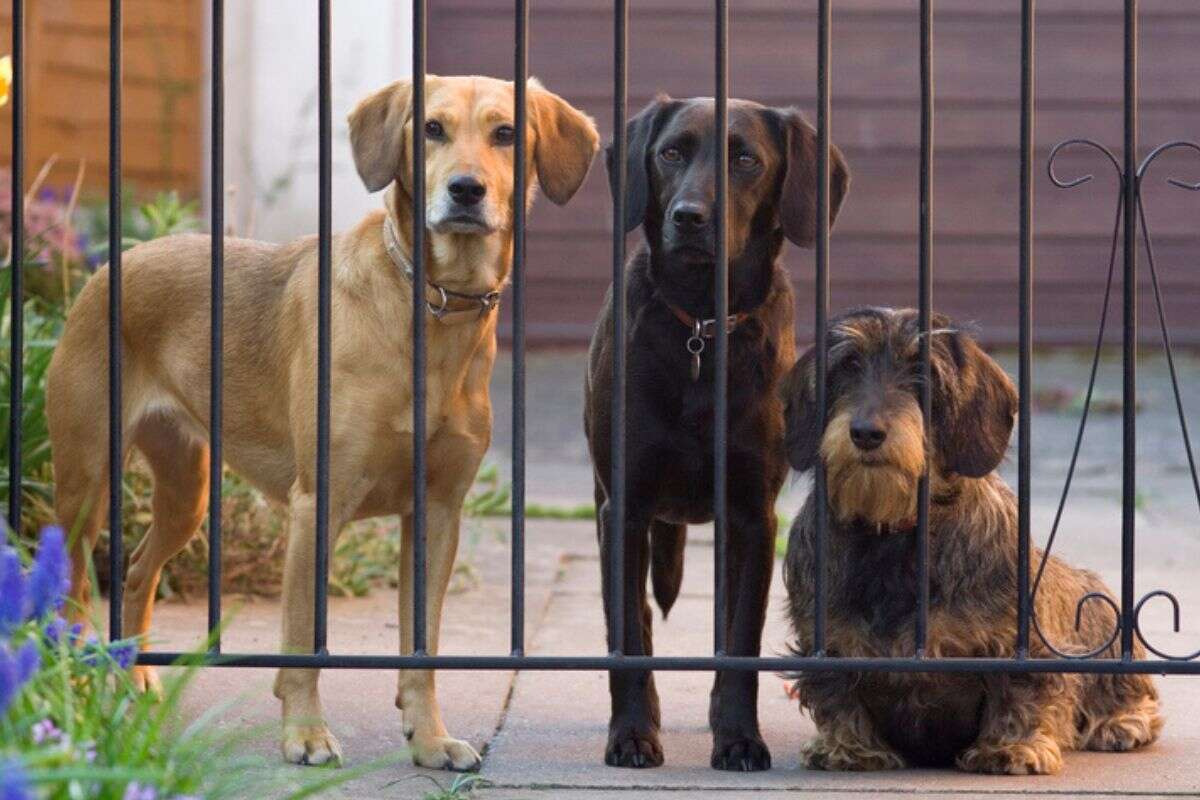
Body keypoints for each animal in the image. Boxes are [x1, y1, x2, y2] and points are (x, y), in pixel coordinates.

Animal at [583, 97, 849, 772]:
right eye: (670, 153)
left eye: (746, 159)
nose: (689, 217)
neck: (702, 327)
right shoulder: (622, 508)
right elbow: (628, 636)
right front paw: (630, 734)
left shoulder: (754, 518)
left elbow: (740, 643)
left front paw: (738, 737)